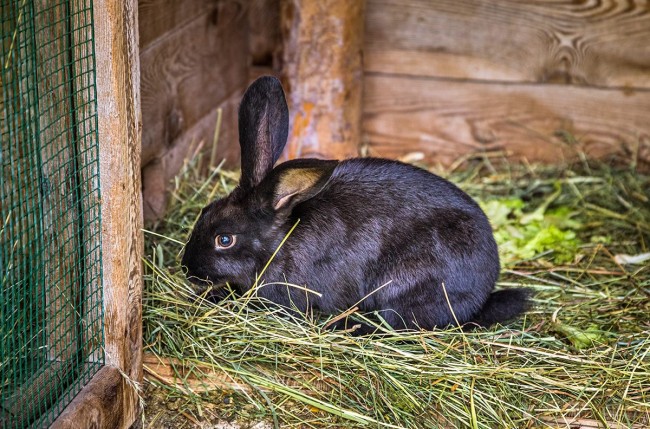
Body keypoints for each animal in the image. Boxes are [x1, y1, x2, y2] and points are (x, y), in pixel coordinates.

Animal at [181, 76, 530, 334]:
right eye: (204, 212)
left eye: (225, 239)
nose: (186, 268)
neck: (279, 243)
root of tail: (482, 295)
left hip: (404, 286)